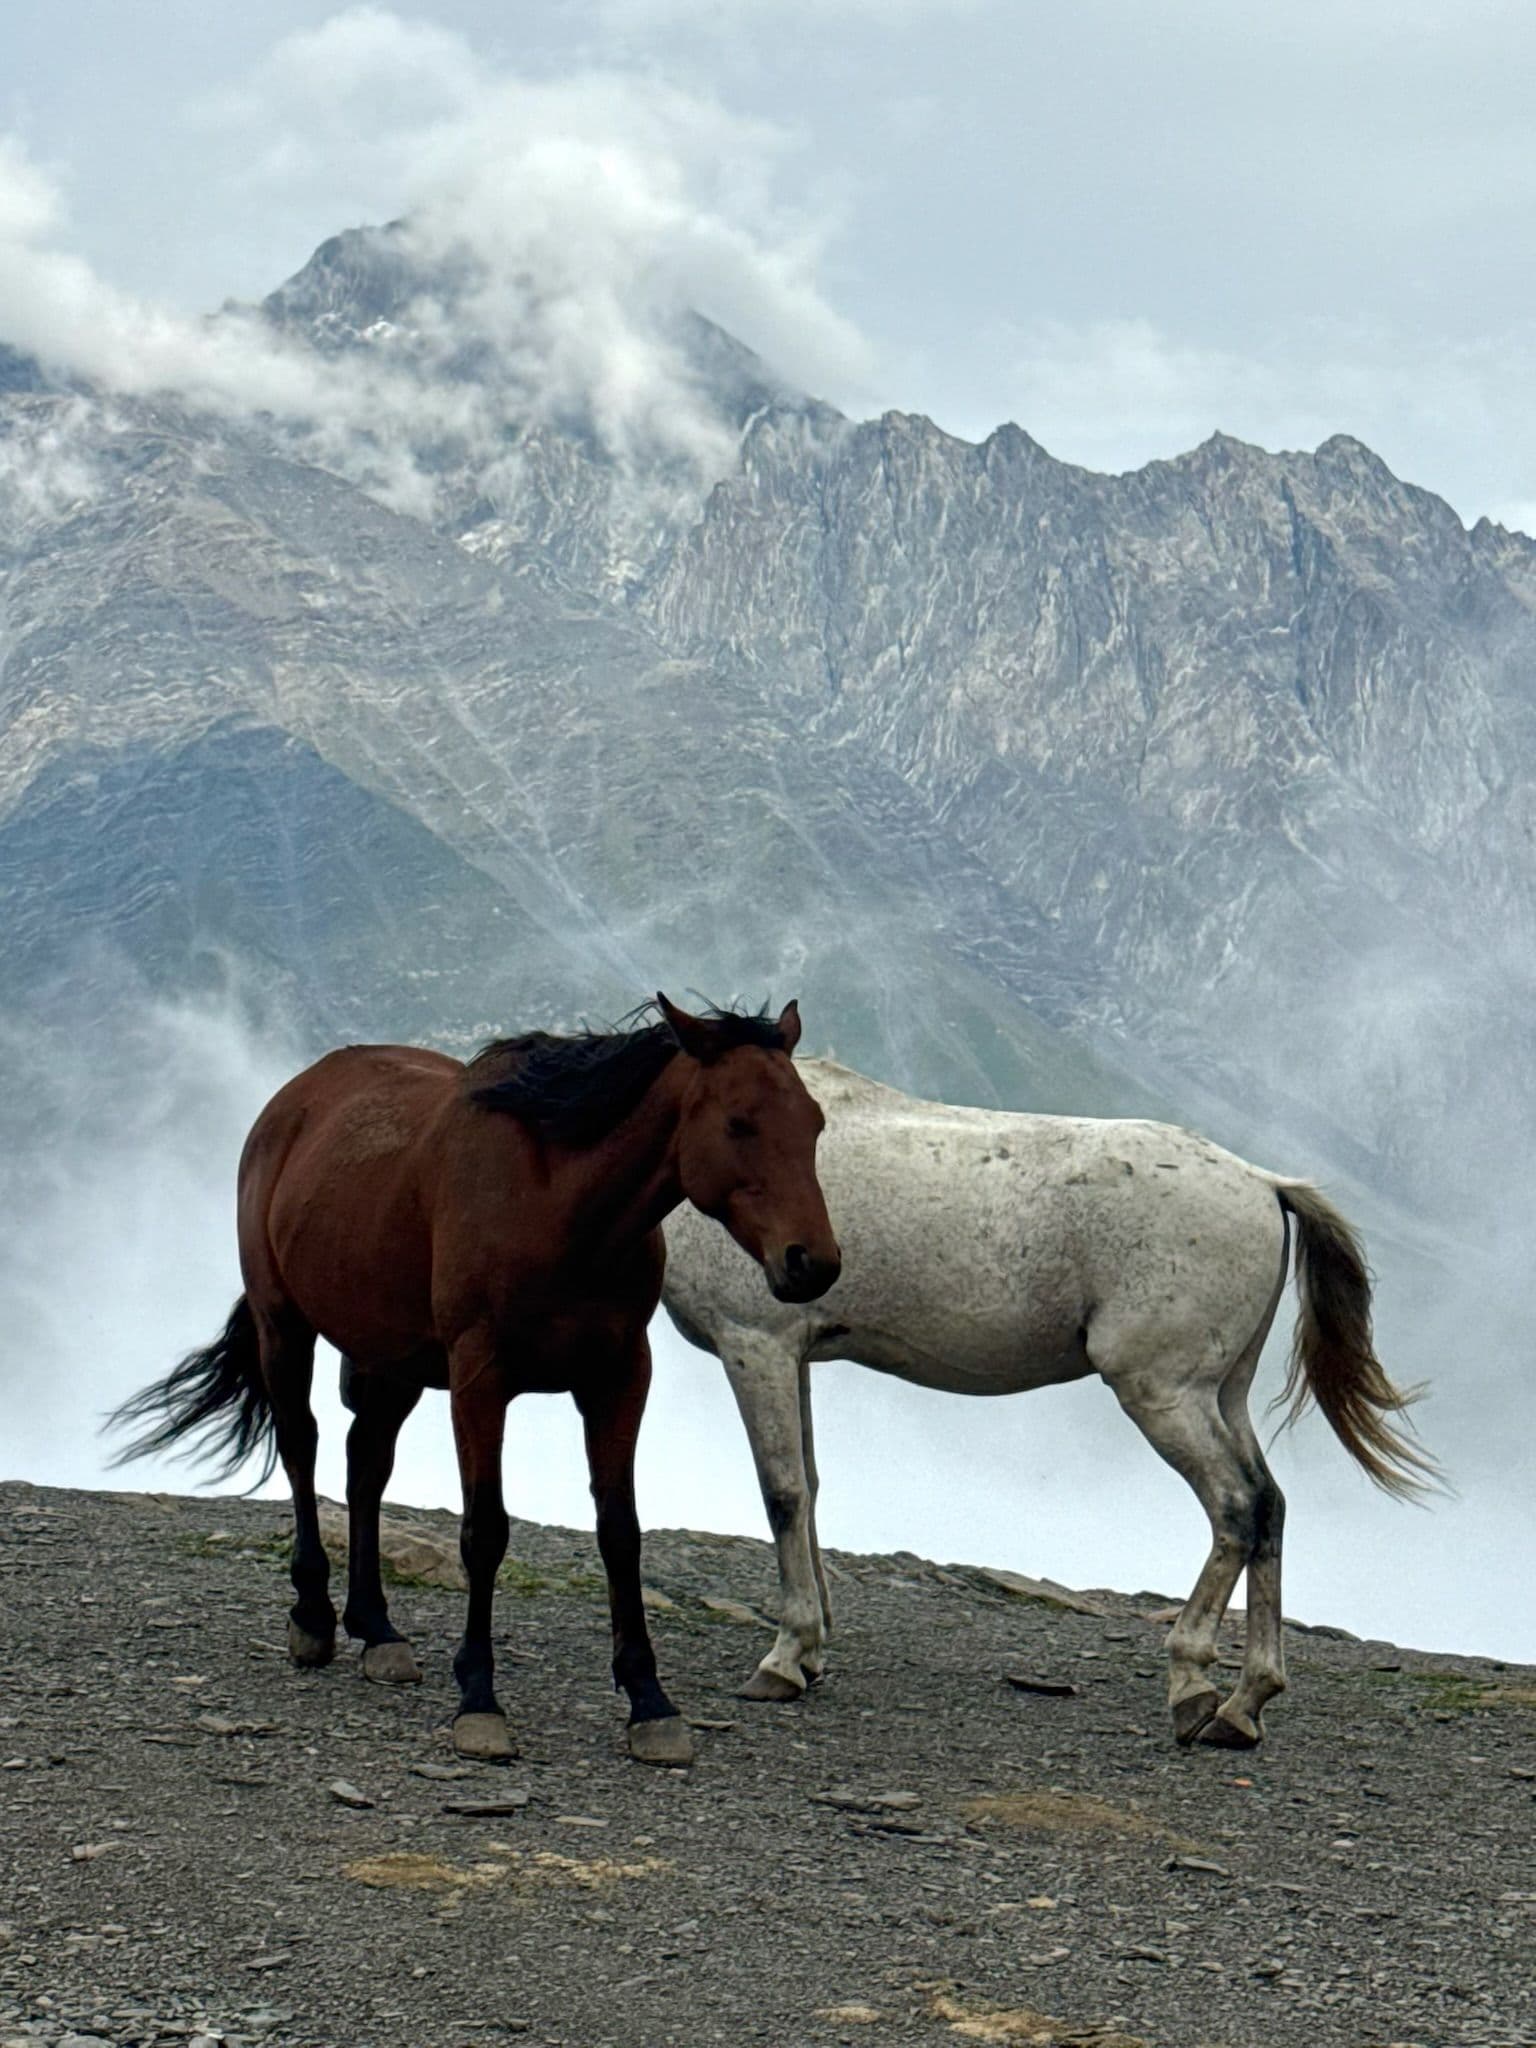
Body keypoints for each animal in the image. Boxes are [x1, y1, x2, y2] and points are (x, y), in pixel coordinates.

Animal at [110, 996, 840, 1767]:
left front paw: (650, 1702)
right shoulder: (480, 1379)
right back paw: (312, 1616)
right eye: (738, 1122)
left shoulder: (617, 1377)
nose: (812, 1262)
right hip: (285, 1328)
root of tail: (292, 1100)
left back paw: (377, 1628)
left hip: (394, 1362)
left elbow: (620, 1533)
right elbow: (484, 1532)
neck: (557, 1205)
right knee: (303, 1449)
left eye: (814, 1122)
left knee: (365, 1465)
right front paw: (479, 1699)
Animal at [661, 1057, 1436, 1750]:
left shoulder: (756, 1344)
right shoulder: (795, 1356)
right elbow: (812, 1488)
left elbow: (783, 1494)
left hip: (1165, 1394)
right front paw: (814, 1650)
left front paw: (785, 1656)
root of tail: (1264, 1184)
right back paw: (1246, 1703)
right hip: (1223, 1393)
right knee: (1269, 1506)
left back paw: (1194, 1685)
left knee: (1237, 1507)